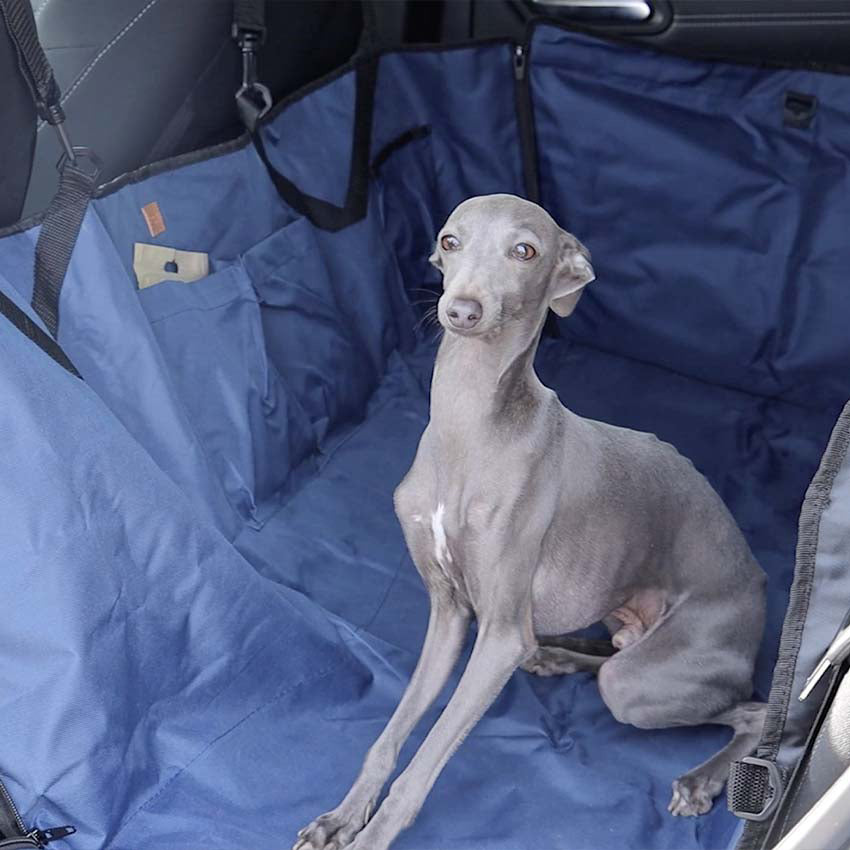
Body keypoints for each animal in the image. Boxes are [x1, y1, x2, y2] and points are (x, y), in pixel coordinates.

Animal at [294, 194, 764, 848]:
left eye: (525, 250)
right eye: (450, 240)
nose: (461, 310)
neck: (470, 427)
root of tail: (759, 584)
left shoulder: (498, 637)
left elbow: (424, 764)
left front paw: (375, 834)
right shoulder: (450, 614)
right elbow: (390, 737)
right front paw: (342, 816)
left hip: (647, 682)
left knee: (753, 710)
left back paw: (701, 779)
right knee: (610, 656)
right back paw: (555, 657)